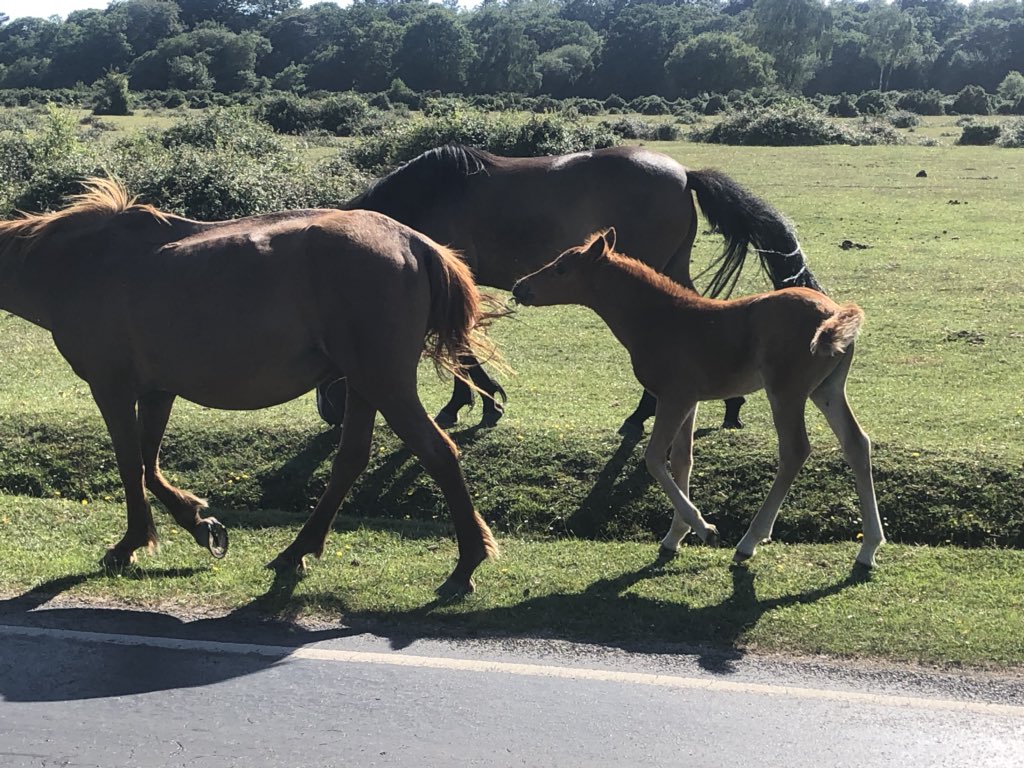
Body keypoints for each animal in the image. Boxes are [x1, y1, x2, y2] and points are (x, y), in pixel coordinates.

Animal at [0, 178, 499, 595]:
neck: (77, 262)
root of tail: (414, 242)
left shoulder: (112, 388)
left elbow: (130, 466)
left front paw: (130, 544)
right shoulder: (158, 390)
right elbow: (149, 464)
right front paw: (200, 524)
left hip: (384, 382)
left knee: (438, 452)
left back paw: (466, 564)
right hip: (363, 385)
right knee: (350, 460)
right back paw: (297, 551)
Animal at [319, 144, 823, 436]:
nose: (330, 413)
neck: (427, 198)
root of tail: (683, 173)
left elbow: (459, 346)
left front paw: (478, 402)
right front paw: (476, 402)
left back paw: (642, 415)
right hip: (672, 266)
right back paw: (726, 404)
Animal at [512, 230, 884, 569]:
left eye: (561, 269)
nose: (519, 288)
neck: (662, 319)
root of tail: (834, 312)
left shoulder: (672, 398)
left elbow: (654, 458)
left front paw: (704, 529)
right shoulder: (690, 401)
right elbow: (681, 461)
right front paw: (675, 535)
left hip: (786, 392)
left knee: (795, 450)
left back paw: (749, 541)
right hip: (826, 390)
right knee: (856, 443)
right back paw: (868, 549)